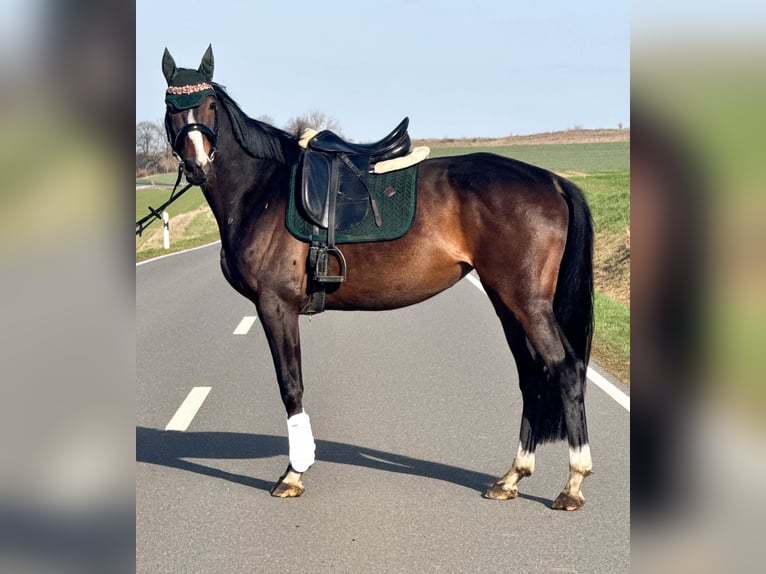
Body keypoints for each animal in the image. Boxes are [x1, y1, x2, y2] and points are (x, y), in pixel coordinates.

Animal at [160, 45, 594, 510]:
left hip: (526, 302)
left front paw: (294, 473)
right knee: (532, 375)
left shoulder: (275, 306)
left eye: (209, 104)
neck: (261, 190)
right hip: (506, 301)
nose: (197, 166)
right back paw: (512, 477)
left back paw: (573, 483)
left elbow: (291, 386)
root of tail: (551, 180)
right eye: (171, 106)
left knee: (566, 368)